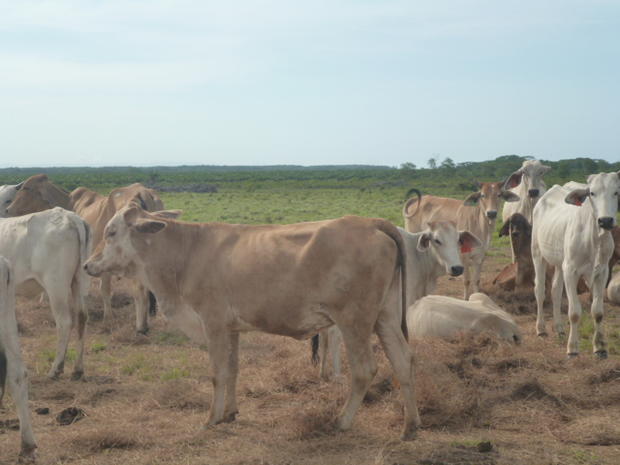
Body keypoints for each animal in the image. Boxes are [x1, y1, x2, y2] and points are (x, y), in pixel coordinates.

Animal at [5, 173, 165, 330]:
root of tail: (142, 193)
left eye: (26, 188)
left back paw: (141, 326)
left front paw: (108, 317)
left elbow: (103, 289)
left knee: (140, 291)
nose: (8, 209)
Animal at [83, 207, 422, 438]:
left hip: (354, 321)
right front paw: (229, 412)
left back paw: (341, 420)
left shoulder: (213, 323)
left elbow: (218, 373)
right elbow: (233, 370)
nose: (87, 264)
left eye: (111, 232)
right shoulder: (231, 328)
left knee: (365, 370)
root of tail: (370, 222)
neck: (187, 253)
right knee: (403, 361)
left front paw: (211, 418)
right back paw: (411, 424)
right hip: (386, 317)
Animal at [312, 222, 482, 380]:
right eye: (437, 240)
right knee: (334, 336)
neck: (419, 258)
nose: (457, 268)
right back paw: (338, 375)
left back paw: (323, 373)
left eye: (459, 240)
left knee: (324, 337)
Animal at [532, 172, 616, 358]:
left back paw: (559, 328)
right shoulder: (571, 270)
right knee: (540, 291)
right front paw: (572, 349)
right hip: (538, 254)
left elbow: (598, 311)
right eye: (592, 193)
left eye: (616, 192)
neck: (594, 238)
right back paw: (541, 329)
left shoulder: (602, 272)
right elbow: (575, 312)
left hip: (559, 263)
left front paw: (600, 347)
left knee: (555, 291)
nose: (606, 221)